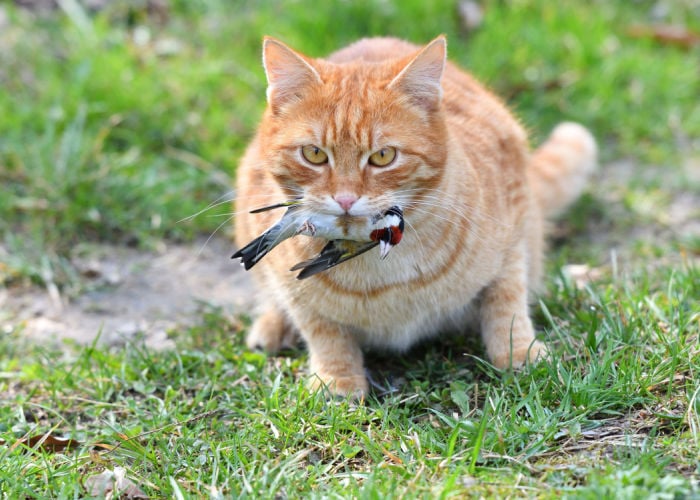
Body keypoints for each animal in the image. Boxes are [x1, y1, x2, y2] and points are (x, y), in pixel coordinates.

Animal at [235, 35, 596, 396]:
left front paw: (520, 353)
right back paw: (273, 325)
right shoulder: (295, 290)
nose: (346, 199)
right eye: (314, 154)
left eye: (383, 156)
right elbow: (323, 332)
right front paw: (336, 381)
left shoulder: (513, 232)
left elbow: (507, 303)